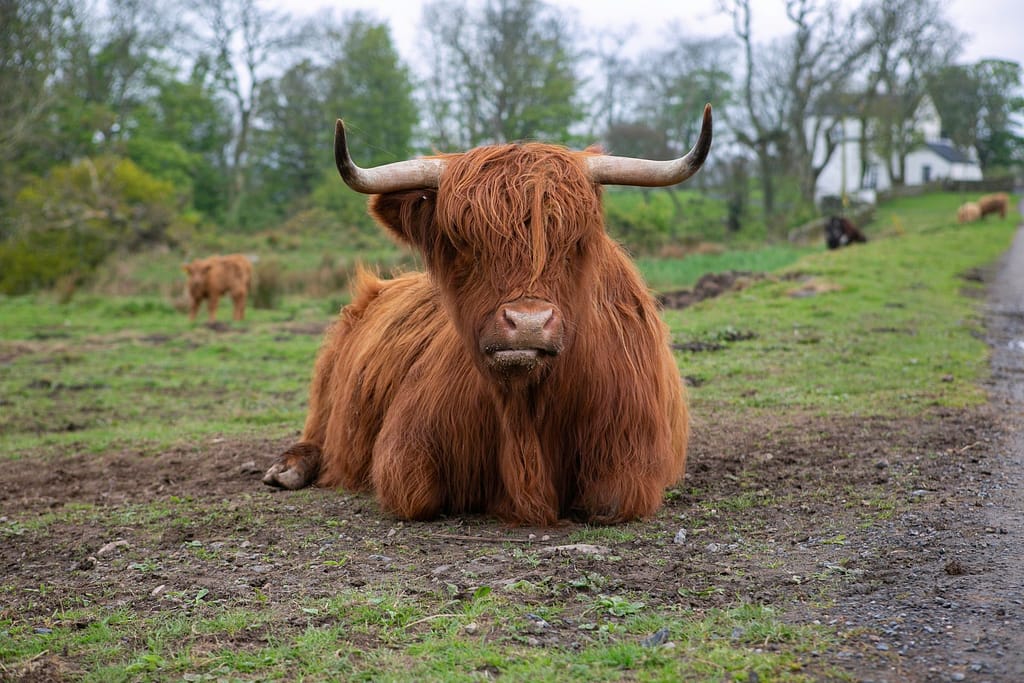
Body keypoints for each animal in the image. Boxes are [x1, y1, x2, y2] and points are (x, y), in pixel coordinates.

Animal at [262, 105, 713, 526]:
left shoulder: (631, 458)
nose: (528, 323)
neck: (524, 413)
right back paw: (287, 469)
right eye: (463, 242)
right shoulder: (404, 448)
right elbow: (417, 495)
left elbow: (609, 501)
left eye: (575, 241)